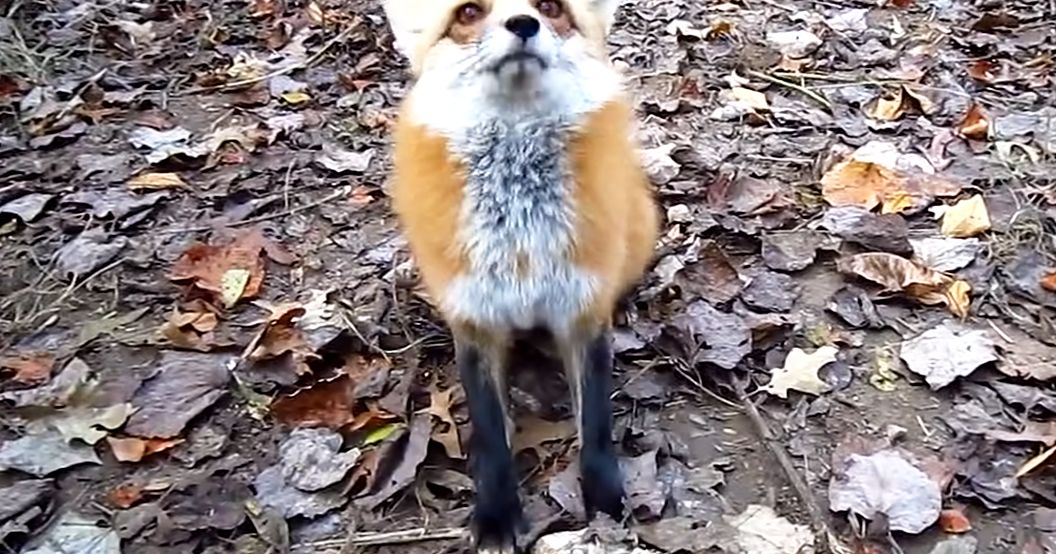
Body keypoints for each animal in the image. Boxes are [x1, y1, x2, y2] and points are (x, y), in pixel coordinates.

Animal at [379, 0, 659, 551]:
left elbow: (596, 423)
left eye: (550, 9)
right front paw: (496, 513)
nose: (523, 24)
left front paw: (605, 500)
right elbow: (490, 434)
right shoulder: (475, 320)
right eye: (469, 13)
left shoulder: (582, 310)